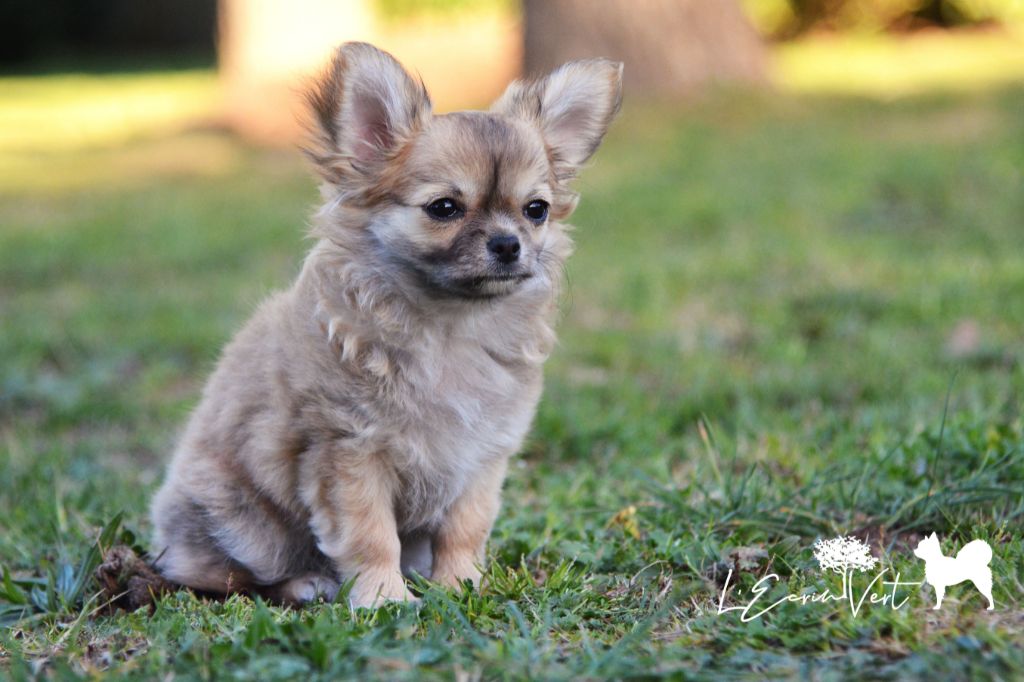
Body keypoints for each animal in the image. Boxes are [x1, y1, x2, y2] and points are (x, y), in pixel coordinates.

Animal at [147, 43, 618, 606]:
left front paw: (463, 585)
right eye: (444, 208)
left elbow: (465, 529)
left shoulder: (481, 457)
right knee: (225, 575)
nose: (508, 243)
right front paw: (383, 599)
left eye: (536, 210)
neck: (449, 326)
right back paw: (305, 582)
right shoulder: (350, 453)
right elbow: (371, 535)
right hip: (245, 524)